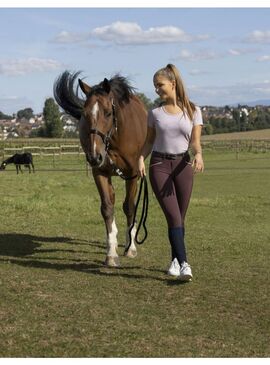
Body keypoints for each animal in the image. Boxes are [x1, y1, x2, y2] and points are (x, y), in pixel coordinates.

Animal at [53, 71, 147, 266]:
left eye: (108, 112)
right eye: (85, 114)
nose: (95, 156)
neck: (115, 138)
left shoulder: (132, 174)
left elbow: (130, 207)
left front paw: (131, 247)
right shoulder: (100, 172)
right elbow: (107, 208)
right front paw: (111, 253)